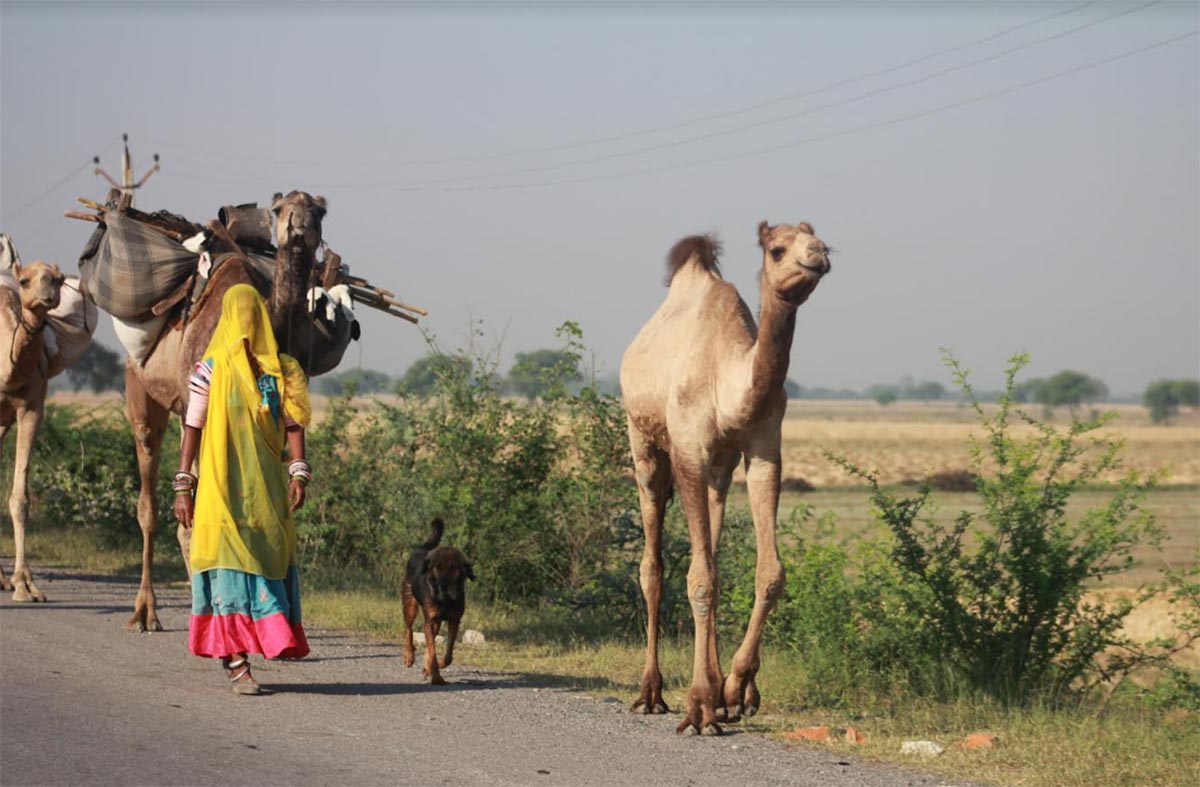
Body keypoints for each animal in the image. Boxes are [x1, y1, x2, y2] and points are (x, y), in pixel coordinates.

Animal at [121, 187, 333, 628]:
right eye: (278, 209)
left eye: (319, 211)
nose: (299, 225)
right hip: (142, 388)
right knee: (150, 495)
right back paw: (147, 611)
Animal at [405, 515, 475, 681]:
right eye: (436, 567)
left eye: (453, 567)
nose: (442, 585)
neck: (446, 599)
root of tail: (421, 549)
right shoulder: (429, 621)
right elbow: (433, 652)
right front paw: (436, 677)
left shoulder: (454, 620)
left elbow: (447, 654)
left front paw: (437, 666)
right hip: (410, 603)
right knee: (408, 629)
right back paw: (409, 656)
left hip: (436, 622)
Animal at [619, 218, 835, 734]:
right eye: (777, 249)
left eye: (821, 241)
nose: (817, 255)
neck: (727, 384)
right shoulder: (689, 453)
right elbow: (699, 579)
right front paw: (699, 705)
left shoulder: (763, 453)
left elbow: (767, 573)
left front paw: (737, 689)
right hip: (644, 446)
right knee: (654, 566)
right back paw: (652, 693)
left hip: (718, 473)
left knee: (711, 549)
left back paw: (717, 692)